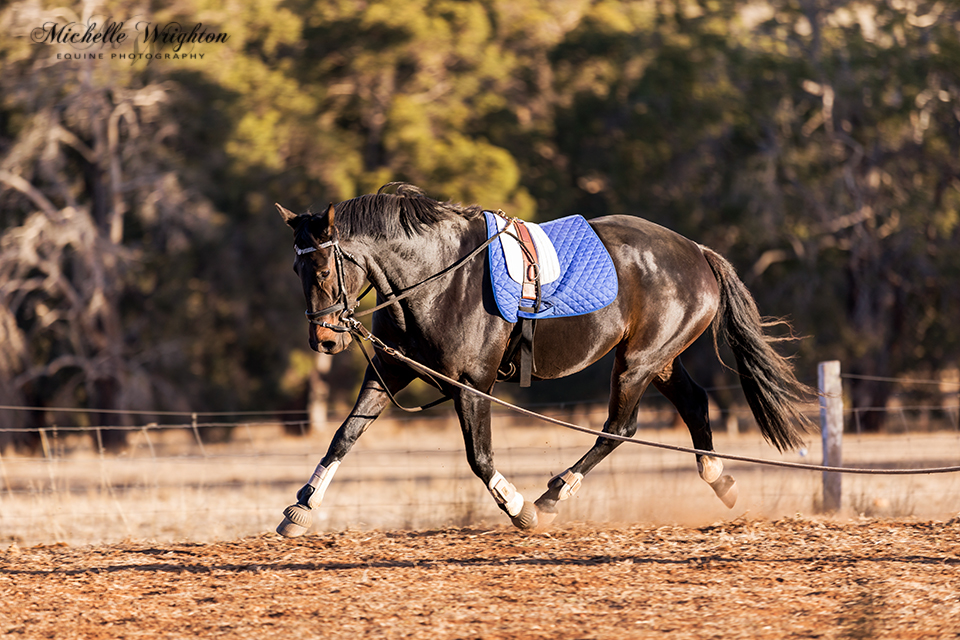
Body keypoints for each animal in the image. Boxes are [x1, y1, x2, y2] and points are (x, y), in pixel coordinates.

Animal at [274, 181, 812, 536]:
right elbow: (345, 435)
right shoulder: (389, 371)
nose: (324, 342)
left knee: (620, 428)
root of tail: (697, 252)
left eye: (322, 268)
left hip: (636, 363)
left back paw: (553, 494)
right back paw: (720, 481)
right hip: (658, 361)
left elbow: (479, 456)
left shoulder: (473, 384)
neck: (436, 278)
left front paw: (519, 509)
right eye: (296, 269)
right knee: (695, 403)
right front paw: (302, 506)